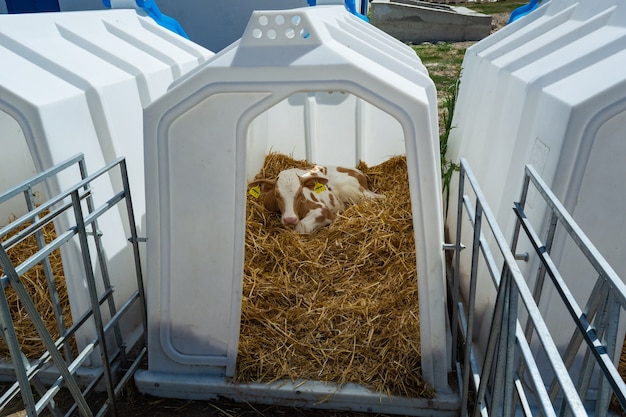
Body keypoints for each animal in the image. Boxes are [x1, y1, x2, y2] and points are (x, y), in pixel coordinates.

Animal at [246, 165, 382, 234]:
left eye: (300, 193)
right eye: (276, 195)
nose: (290, 219)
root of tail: (359, 173)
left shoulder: (322, 209)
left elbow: (301, 227)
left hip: (355, 193)